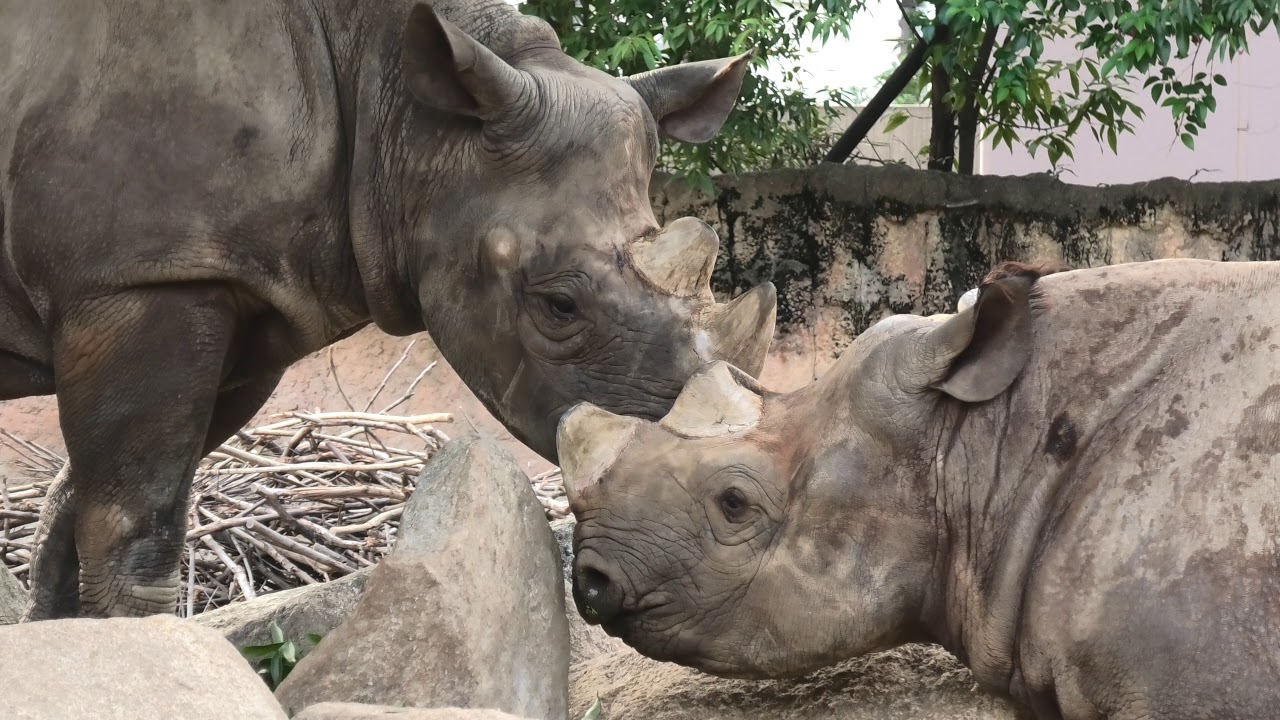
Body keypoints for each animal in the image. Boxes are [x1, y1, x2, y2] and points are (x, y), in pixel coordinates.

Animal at [0, 0, 777, 619]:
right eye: (559, 306)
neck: (407, 114)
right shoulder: (138, 276)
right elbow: (135, 526)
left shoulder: (239, 288)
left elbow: (74, 509)